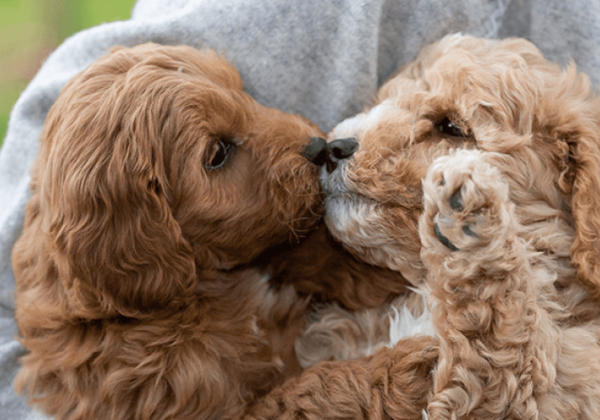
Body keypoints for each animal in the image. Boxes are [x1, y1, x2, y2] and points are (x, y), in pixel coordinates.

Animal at [12, 42, 408, 420]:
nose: (319, 148)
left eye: (241, 92)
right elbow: (305, 395)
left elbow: (303, 248)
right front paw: (403, 369)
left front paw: (384, 265)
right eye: (218, 153)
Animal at [310, 34, 600, 418]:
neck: (420, 293)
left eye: (451, 127)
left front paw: (472, 218)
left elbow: (495, 345)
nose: (332, 148)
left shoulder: (545, 393)